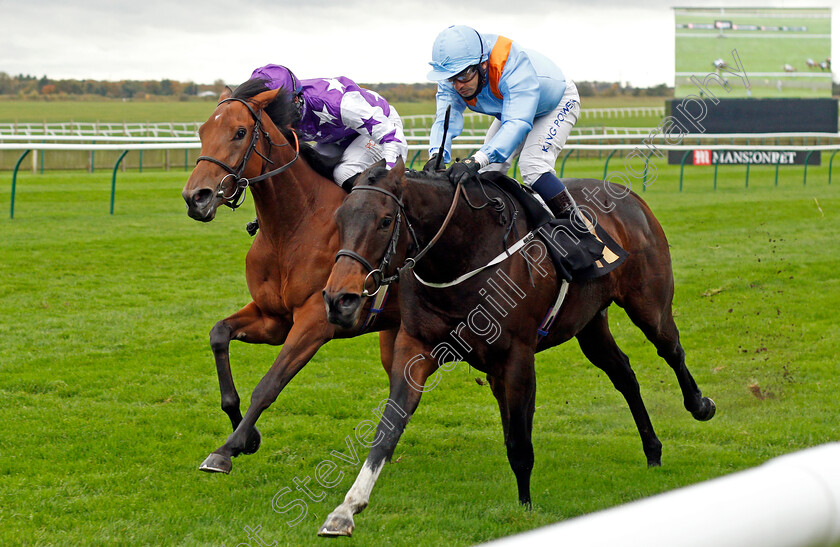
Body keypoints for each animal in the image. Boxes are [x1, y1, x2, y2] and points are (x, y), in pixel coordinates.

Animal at [180, 80, 400, 476]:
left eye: (240, 132)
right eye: (202, 131)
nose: (195, 198)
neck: (294, 225)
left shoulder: (315, 321)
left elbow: (269, 384)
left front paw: (227, 448)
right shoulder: (273, 318)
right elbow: (218, 334)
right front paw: (246, 434)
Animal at [316, 158, 716, 536]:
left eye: (385, 221)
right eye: (339, 218)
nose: (339, 300)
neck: (463, 255)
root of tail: (630, 197)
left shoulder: (518, 355)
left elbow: (520, 443)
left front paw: (525, 506)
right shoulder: (416, 348)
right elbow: (389, 428)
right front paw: (346, 510)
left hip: (649, 305)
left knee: (671, 350)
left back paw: (700, 406)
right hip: (590, 325)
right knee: (624, 374)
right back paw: (653, 451)